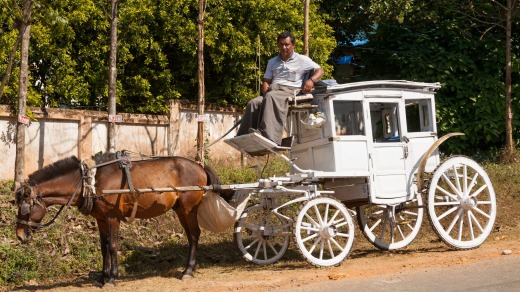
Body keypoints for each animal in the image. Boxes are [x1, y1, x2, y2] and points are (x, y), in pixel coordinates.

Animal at [15, 153, 221, 288]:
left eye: (25, 207)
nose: (19, 235)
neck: (90, 182)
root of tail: (200, 166)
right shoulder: (100, 219)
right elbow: (104, 247)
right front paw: (102, 277)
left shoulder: (112, 217)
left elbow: (113, 246)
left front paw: (112, 278)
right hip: (179, 209)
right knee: (190, 235)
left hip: (189, 208)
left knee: (194, 235)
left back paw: (188, 270)